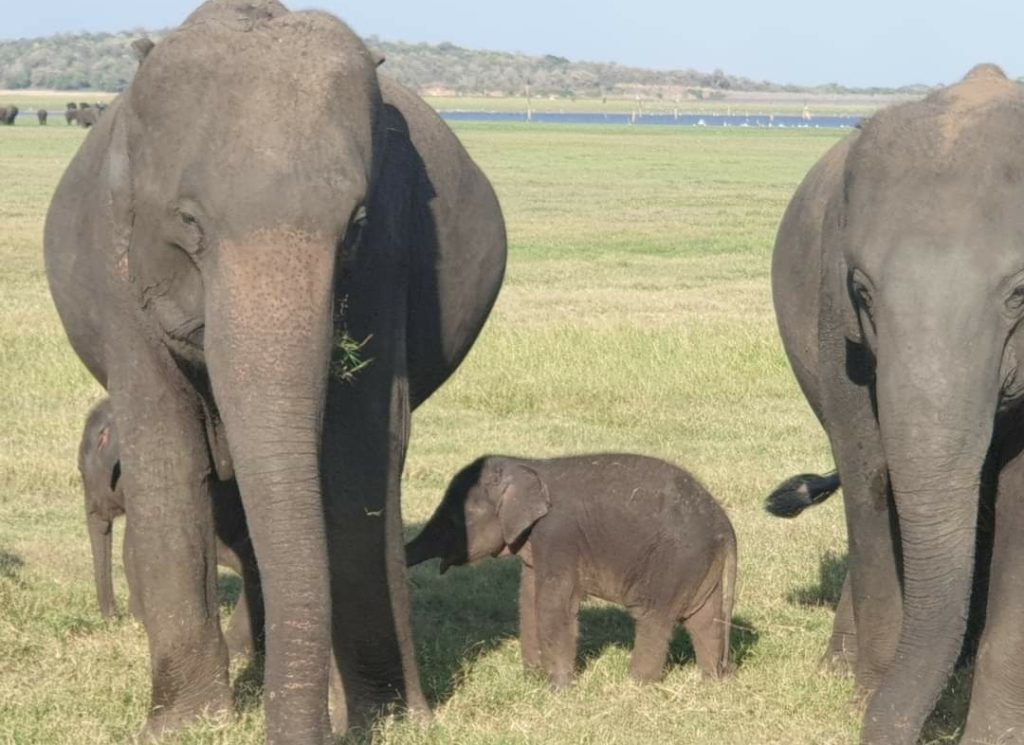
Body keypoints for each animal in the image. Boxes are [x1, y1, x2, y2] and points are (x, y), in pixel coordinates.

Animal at [44, 2, 507, 740]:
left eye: (356, 222)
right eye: (188, 221)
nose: (308, 726)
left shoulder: (391, 255)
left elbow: (360, 450)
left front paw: (390, 715)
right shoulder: (117, 270)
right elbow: (167, 455)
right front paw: (184, 723)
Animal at [405, 450, 737, 687]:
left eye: (454, 520)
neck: (528, 465)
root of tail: (725, 527)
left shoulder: (558, 533)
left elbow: (555, 603)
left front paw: (558, 689)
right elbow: (528, 599)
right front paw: (531, 680)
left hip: (675, 563)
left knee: (653, 618)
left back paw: (636, 686)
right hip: (699, 567)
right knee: (705, 621)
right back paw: (710, 682)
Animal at [770, 65, 1024, 745]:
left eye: (1020, 294)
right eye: (864, 290)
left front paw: (995, 735)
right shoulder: (836, 317)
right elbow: (868, 473)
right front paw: (863, 696)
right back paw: (840, 666)